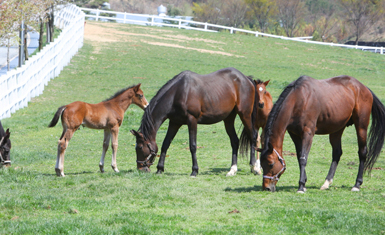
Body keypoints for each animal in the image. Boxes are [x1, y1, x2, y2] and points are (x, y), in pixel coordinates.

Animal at [130, 67, 260, 176]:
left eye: (140, 147)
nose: (140, 169)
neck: (178, 92)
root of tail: (246, 78)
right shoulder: (174, 123)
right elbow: (165, 144)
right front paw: (160, 169)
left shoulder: (192, 121)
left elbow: (192, 146)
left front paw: (194, 170)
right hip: (228, 119)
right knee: (235, 141)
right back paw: (233, 170)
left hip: (245, 115)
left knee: (253, 137)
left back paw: (254, 167)